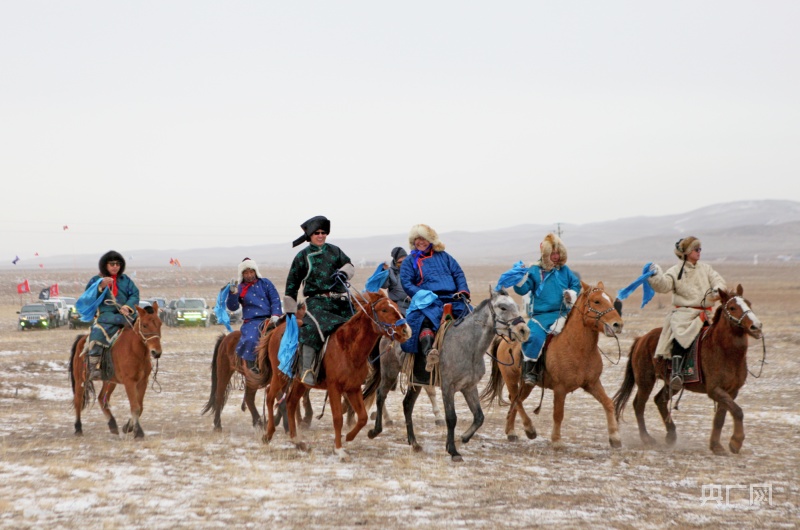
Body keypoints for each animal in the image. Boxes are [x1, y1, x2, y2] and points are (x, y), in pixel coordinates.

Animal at [69, 302, 162, 438]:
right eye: (144, 325)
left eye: (160, 323)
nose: (156, 352)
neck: (135, 350)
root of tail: (82, 339)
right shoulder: (129, 382)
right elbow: (135, 406)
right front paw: (138, 432)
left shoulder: (143, 382)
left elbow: (140, 406)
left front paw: (128, 427)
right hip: (80, 378)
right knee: (78, 400)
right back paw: (78, 428)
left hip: (109, 381)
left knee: (102, 398)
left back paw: (112, 424)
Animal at [248, 288, 412, 458]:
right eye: (384, 309)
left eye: (396, 307)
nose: (406, 330)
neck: (348, 347)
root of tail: (276, 330)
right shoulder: (334, 388)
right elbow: (338, 418)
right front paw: (338, 449)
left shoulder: (353, 388)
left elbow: (362, 417)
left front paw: (349, 436)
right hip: (281, 375)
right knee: (270, 396)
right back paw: (268, 434)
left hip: (300, 382)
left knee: (290, 402)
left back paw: (297, 441)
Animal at [400, 286, 532, 460]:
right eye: (503, 307)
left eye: (517, 306)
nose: (524, 331)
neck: (467, 345)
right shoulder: (448, 387)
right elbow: (451, 418)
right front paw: (453, 451)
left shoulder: (469, 387)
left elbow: (479, 416)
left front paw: (464, 437)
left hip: (416, 381)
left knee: (407, 405)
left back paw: (414, 443)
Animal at [482, 278, 624, 448]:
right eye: (597, 301)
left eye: (610, 299)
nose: (618, 324)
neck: (578, 347)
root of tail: (505, 339)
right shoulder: (560, 388)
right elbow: (558, 414)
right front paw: (556, 440)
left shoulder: (592, 383)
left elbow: (608, 403)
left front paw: (615, 437)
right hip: (510, 378)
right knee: (516, 400)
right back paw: (529, 429)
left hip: (527, 384)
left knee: (515, 400)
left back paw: (511, 432)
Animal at [612, 284, 764, 454]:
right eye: (732, 307)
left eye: (749, 304)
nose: (756, 327)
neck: (725, 352)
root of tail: (641, 339)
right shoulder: (714, 389)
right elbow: (737, 411)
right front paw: (736, 442)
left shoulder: (731, 391)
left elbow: (721, 416)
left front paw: (716, 445)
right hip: (645, 381)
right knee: (639, 404)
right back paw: (647, 438)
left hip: (672, 384)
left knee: (660, 400)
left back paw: (671, 436)